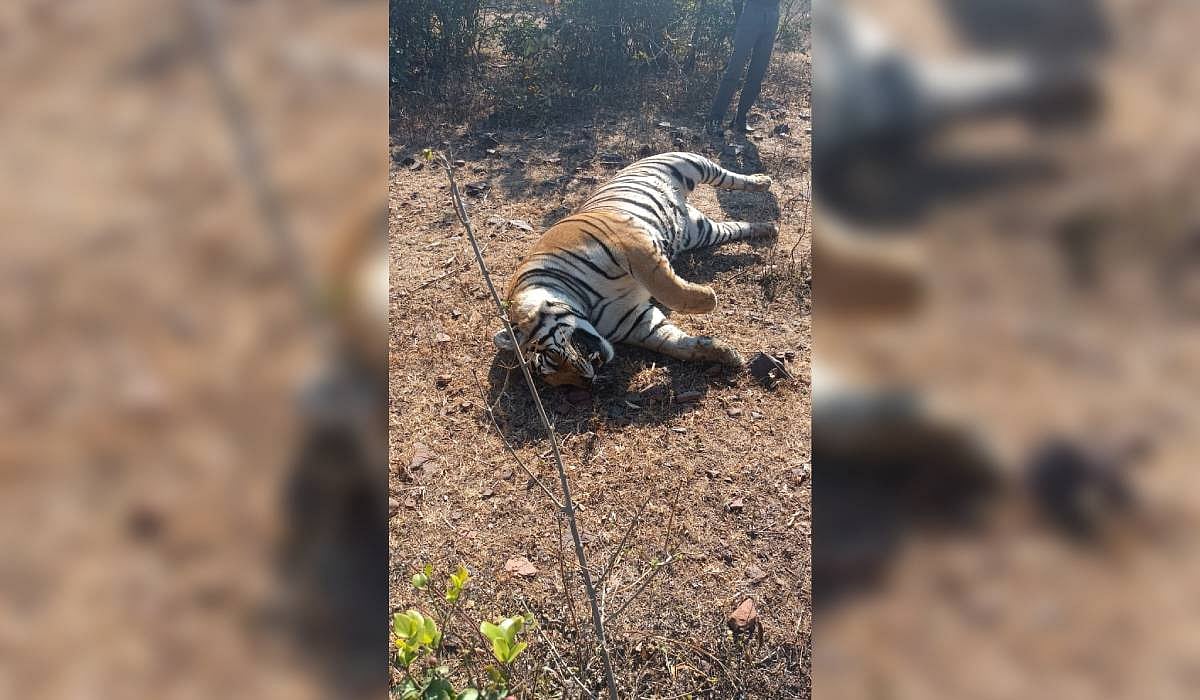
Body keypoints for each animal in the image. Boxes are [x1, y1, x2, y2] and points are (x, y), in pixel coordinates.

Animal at [493, 151, 777, 388]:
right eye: (560, 382)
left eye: (552, 356)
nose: (588, 379)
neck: (586, 307)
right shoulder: (635, 321)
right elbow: (674, 343)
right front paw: (725, 354)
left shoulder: (629, 242)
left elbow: (666, 286)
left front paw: (708, 300)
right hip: (702, 231)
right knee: (736, 226)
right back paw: (768, 228)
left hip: (688, 164)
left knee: (726, 176)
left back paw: (762, 181)